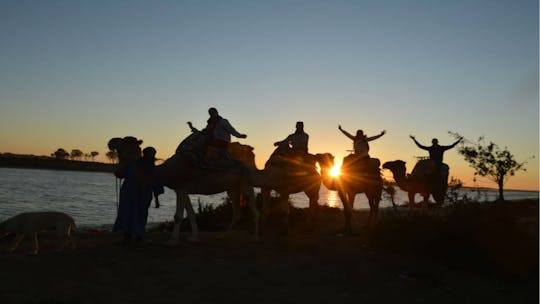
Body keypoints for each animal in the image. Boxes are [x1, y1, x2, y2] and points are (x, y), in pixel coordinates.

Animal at [107, 134, 260, 243]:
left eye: (124, 141)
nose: (111, 141)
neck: (164, 172)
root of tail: (251, 152)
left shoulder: (180, 188)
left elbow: (177, 216)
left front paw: (172, 240)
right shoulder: (182, 190)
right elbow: (190, 213)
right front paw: (194, 237)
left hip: (247, 182)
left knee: (254, 208)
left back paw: (255, 237)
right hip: (233, 187)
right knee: (237, 212)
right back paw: (222, 236)